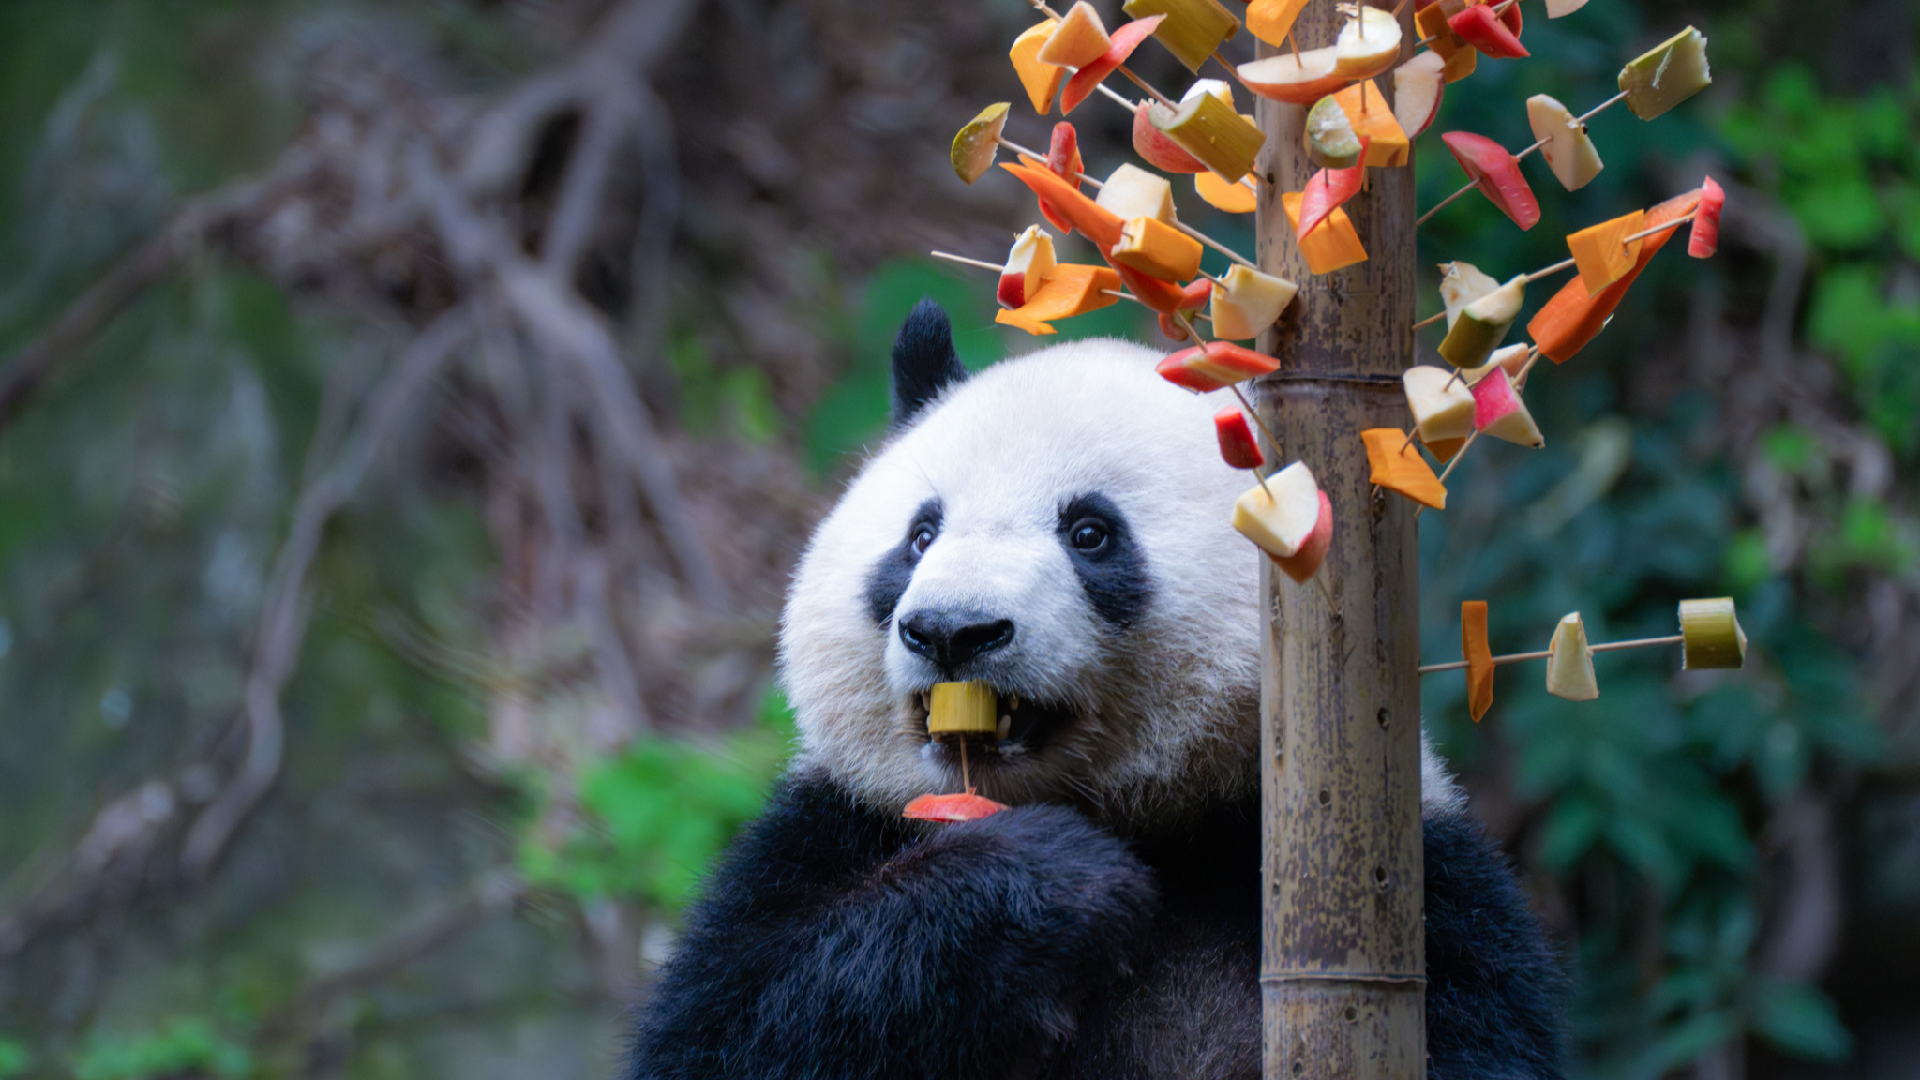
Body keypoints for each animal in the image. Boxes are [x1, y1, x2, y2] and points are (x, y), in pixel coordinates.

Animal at [622, 299, 1566, 1076]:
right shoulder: (830, 831)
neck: (1146, 819)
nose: (953, 631)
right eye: (920, 536)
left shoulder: (1419, 892)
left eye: (1090, 533)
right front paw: (1050, 889)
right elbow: (733, 1027)